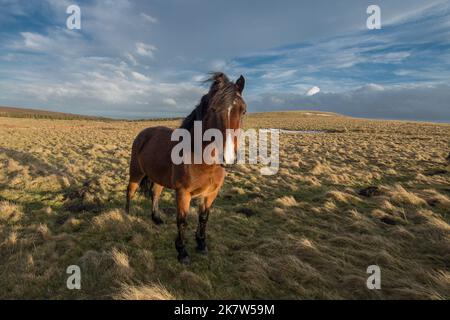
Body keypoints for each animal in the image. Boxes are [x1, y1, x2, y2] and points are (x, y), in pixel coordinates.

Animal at [125, 73, 246, 264]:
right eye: (213, 109)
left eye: (243, 111)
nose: (228, 157)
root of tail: (144, 133)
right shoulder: (183, 193)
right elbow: (182, 220)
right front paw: (182, 252)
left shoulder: (211, 193)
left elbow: (203, 217)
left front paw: (201, 244)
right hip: (136, 173)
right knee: (130, 192)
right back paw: (127, 217)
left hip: (158, 178)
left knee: (155, 193)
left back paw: (156, 218)